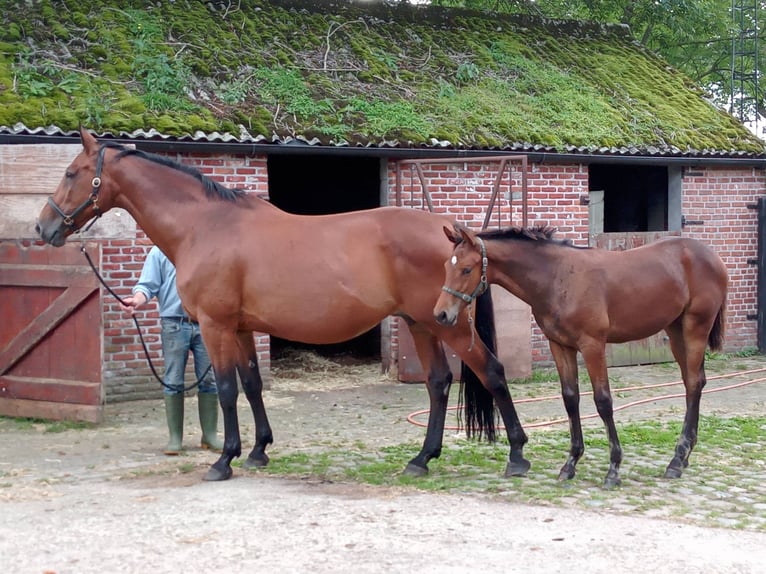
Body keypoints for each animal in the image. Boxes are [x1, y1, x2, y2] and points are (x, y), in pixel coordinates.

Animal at [37, 128, 536, 484]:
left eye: (70, 173)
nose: (43, 228)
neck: (205, 226)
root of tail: (456, 236)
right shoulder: (241, 329)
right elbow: (253, 385)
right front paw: (258, 451)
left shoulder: (216, 327)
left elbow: (225, 389)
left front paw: (224, 460)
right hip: (421, 323)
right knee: (437, 383)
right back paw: (421, 458)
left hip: (450, 326)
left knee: (492, 372)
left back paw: (516, 455)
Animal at [436, 225, 728, 490]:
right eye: (446, 266)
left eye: (467, 269)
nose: (441, 315)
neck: (559, 278)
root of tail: (711, 256)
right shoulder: (560, 346)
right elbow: (570, 399)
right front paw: (570, 464)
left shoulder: (592, 346)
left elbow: (603, 402)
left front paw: (613, 469)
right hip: (675, 330)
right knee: (692, 382)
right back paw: (683, 456)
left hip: (695, 328)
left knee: (693, 383)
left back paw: (677, 460)